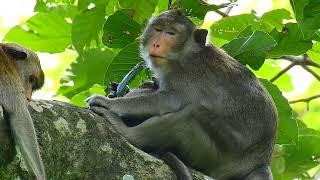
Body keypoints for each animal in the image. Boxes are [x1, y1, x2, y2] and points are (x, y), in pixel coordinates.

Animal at [0, 43, 46, 180]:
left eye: (33, 85)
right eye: (31, 79)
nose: (28, 98)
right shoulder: (9, 76)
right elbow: (20, 115)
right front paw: (39, 175)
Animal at [87, 10, 276, 180]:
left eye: (171, 33)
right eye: (157, 29)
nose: (156, 44)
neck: (186, 54)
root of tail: (261, 163)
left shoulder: (190, 77)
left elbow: (167, 101)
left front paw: (109, 102)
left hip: (217, 156)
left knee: (190, 115)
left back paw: (127, 132)